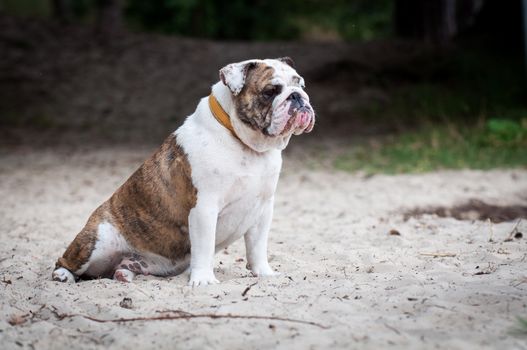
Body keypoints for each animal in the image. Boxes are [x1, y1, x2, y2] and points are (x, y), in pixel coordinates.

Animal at [51, 57, 316, 286]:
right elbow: (204, 247)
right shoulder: (204, 208)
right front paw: (204, 280)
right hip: (97, 242)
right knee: (66, 261)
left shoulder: (262, 209)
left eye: (301, 84)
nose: (297, 96)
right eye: (270, 91)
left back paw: (125, 273)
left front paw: (264, 273)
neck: (247, 146)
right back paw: (63, 275)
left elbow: (257, 247)